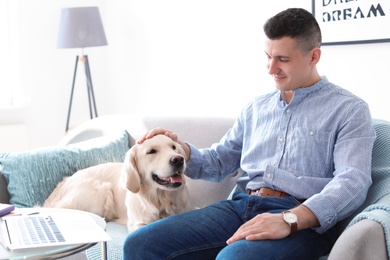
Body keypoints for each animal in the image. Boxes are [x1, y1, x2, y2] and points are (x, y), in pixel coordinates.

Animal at [43, 134, 195, 232]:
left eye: (173, 147)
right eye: (151, 151)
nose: (179, 159)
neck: (161, 199)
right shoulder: (138, 224)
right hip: (100, 192)